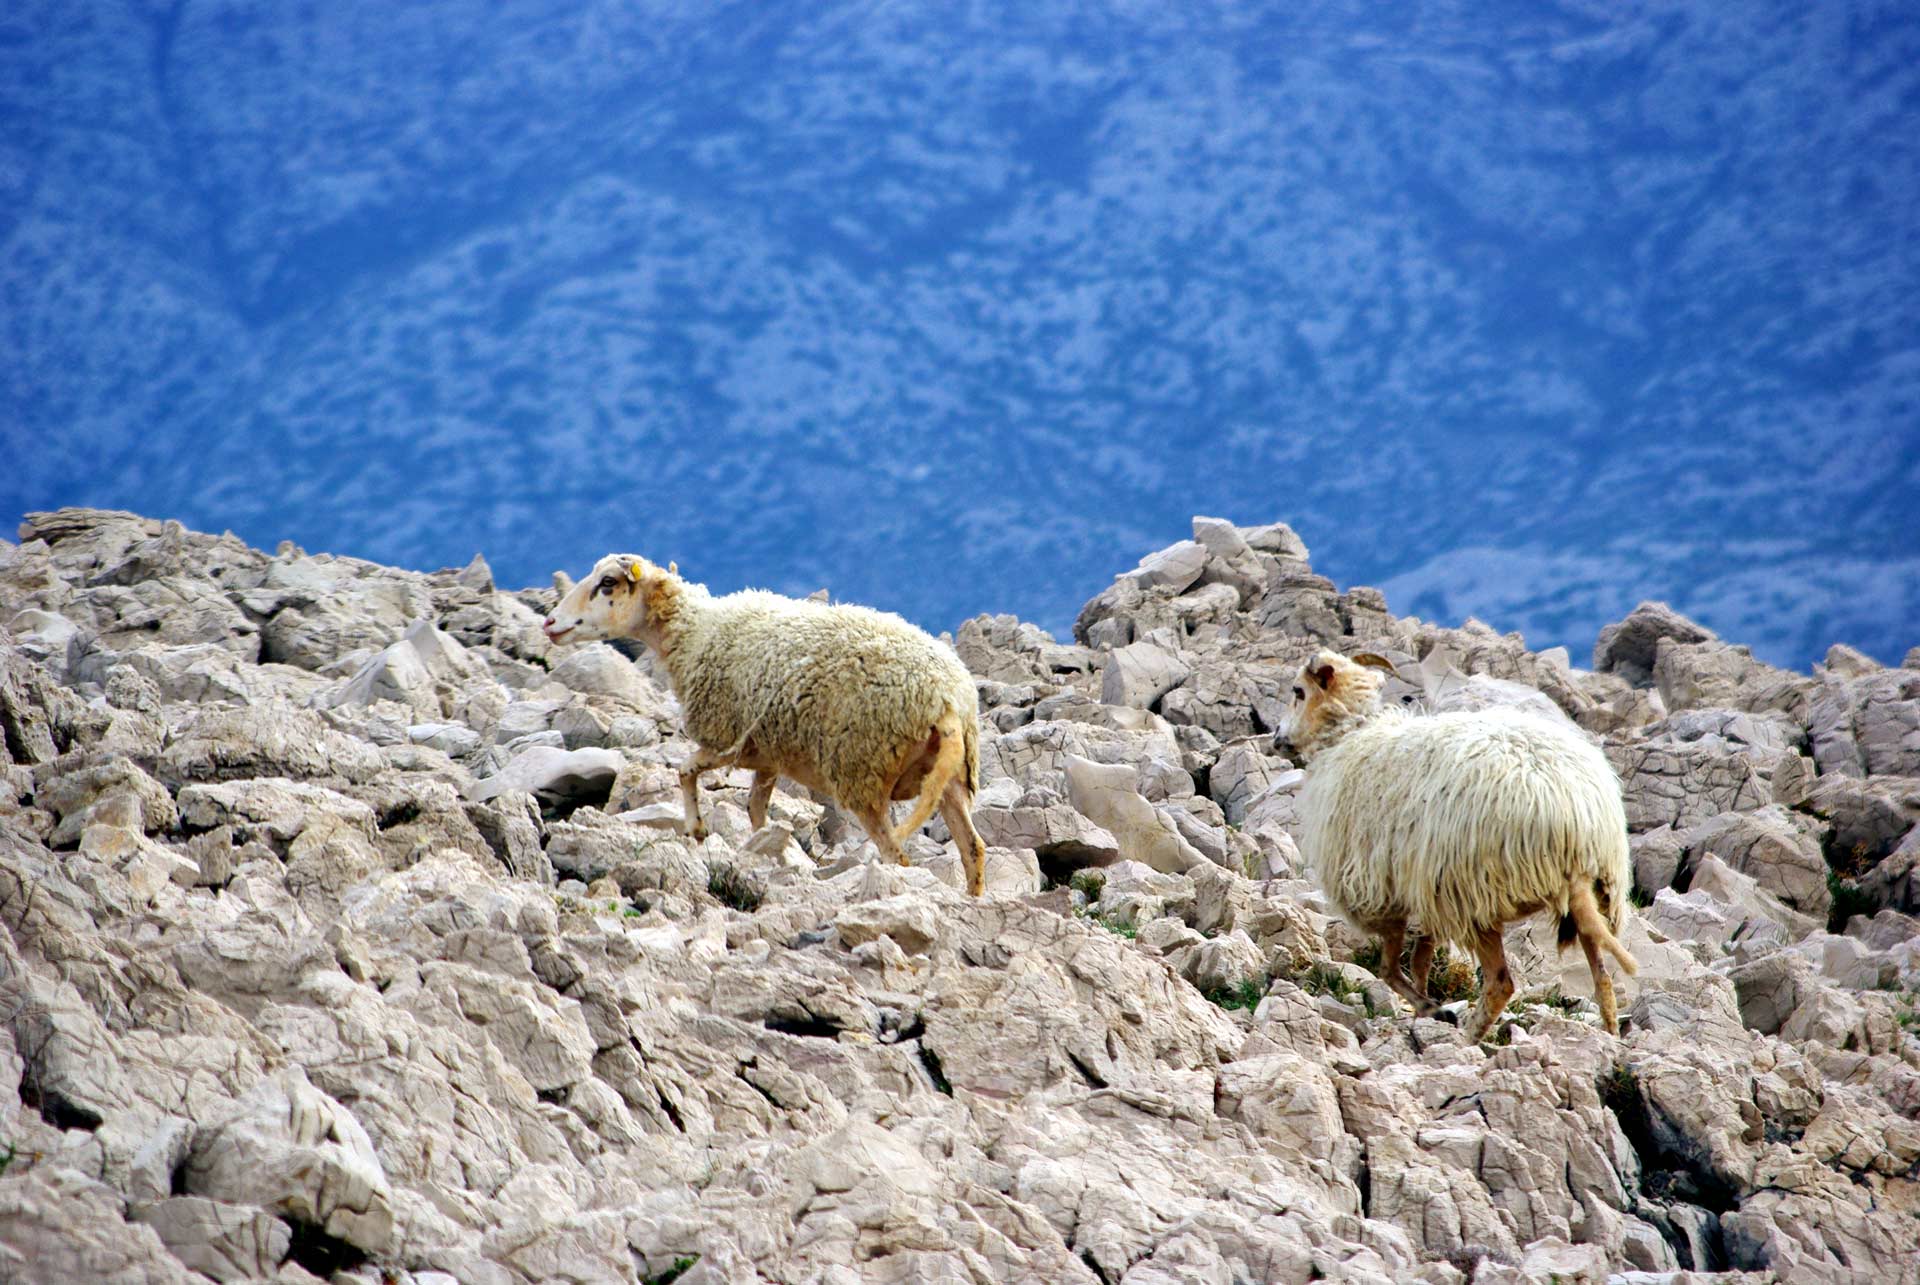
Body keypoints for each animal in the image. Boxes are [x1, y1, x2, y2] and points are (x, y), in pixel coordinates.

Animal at [541, 553, 990, 891]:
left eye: (608, 583)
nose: (549, 623)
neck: (693, 634)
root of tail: (948, 700)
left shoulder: (727, 739)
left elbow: (685, 770)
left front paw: (697, 829)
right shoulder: (769, 756)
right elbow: (755, 809)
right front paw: (766, 849)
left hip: (862, 771)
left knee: (898, 856)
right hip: (950, 779)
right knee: (973, 849)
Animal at [1282, 645, 1643, 1037]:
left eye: (1298, 691)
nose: (1277, 738)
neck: (1349, 736)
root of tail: (1577, 823)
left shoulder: (1379, 891)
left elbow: (1390, 969)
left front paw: (1432, 1010)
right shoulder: (1423, 891)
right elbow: (1421, 961)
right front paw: (1424, 1011)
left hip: (1473, 897)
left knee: (1501, 983)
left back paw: (1468, 1036)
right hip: (1593, 893)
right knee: (1603, 979)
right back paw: (1610, 1035)